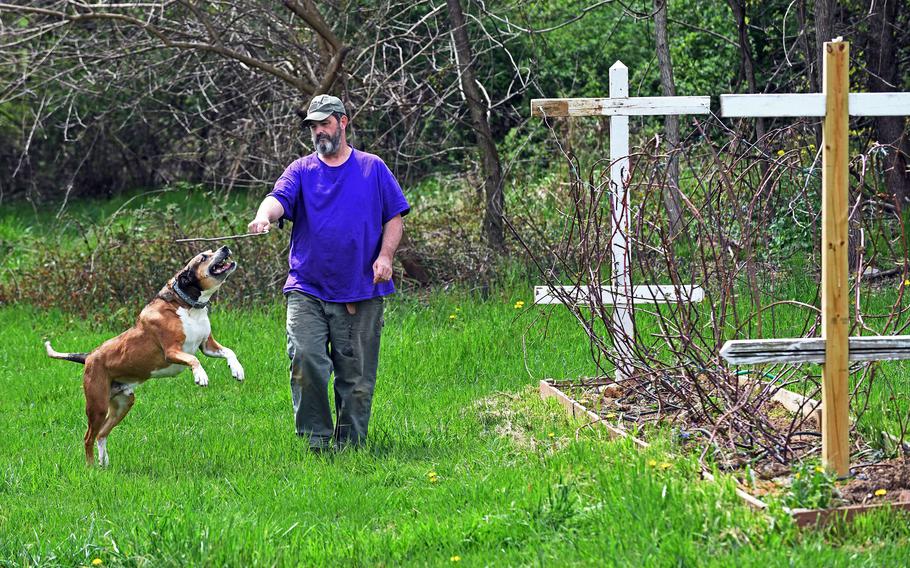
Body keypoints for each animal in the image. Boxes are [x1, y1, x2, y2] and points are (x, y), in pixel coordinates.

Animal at [44, 245, 244, 466]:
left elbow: (228, 351)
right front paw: (201, 376)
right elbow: (194, 359)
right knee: (88, 437)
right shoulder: (172, 351)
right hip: (97, 406)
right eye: (203, 257)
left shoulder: (207, 345)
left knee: (102, 434)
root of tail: (88, 357)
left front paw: (237, 370)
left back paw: (104, 464)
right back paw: (90, 467)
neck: (188, 306)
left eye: (211, 250)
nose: (225, 247)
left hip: (123, 404)